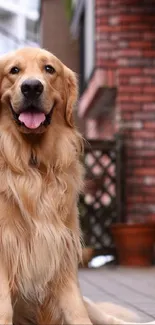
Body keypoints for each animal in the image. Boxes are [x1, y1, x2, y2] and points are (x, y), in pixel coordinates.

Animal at [0, 47, 154, 324]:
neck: (33, 164)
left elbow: (76, 311)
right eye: (14, 70)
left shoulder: (63, 250)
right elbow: (4, 308)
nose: (31, 87)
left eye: (49, 69)